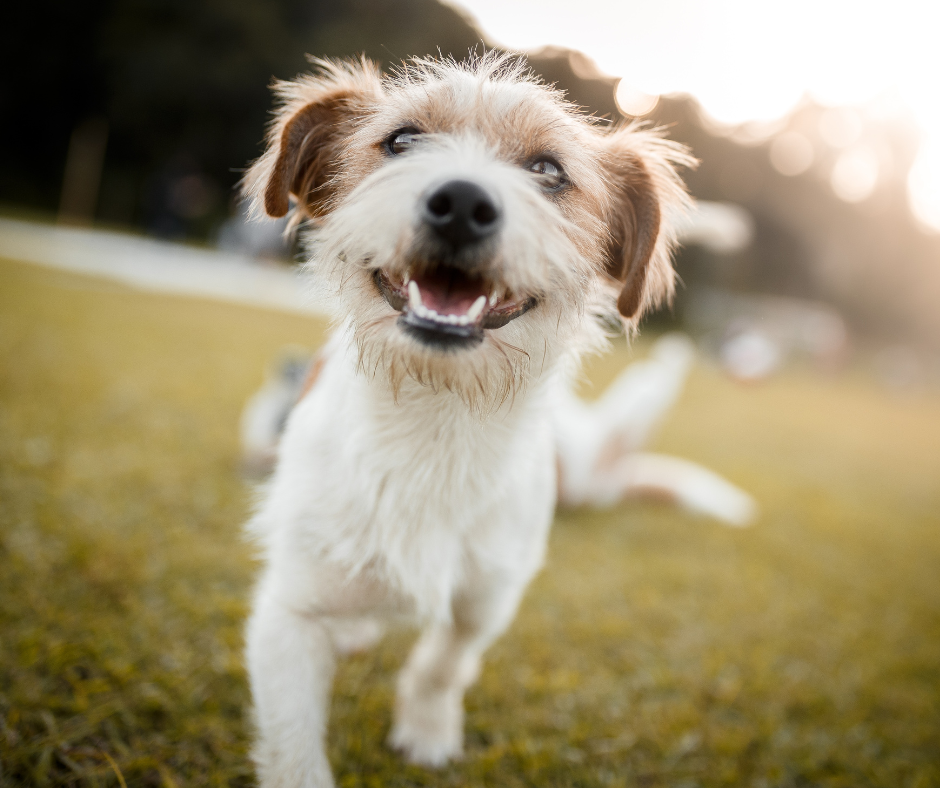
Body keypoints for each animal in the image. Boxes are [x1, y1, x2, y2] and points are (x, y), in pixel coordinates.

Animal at [244, 55, 756, 788]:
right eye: (402, 141)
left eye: (547, 169)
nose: (461, 202)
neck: (437, 416)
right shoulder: (288, 614)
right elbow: (294, 749)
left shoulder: (488, 594)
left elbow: (445, 661)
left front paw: (428, 730)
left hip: (579, 469)